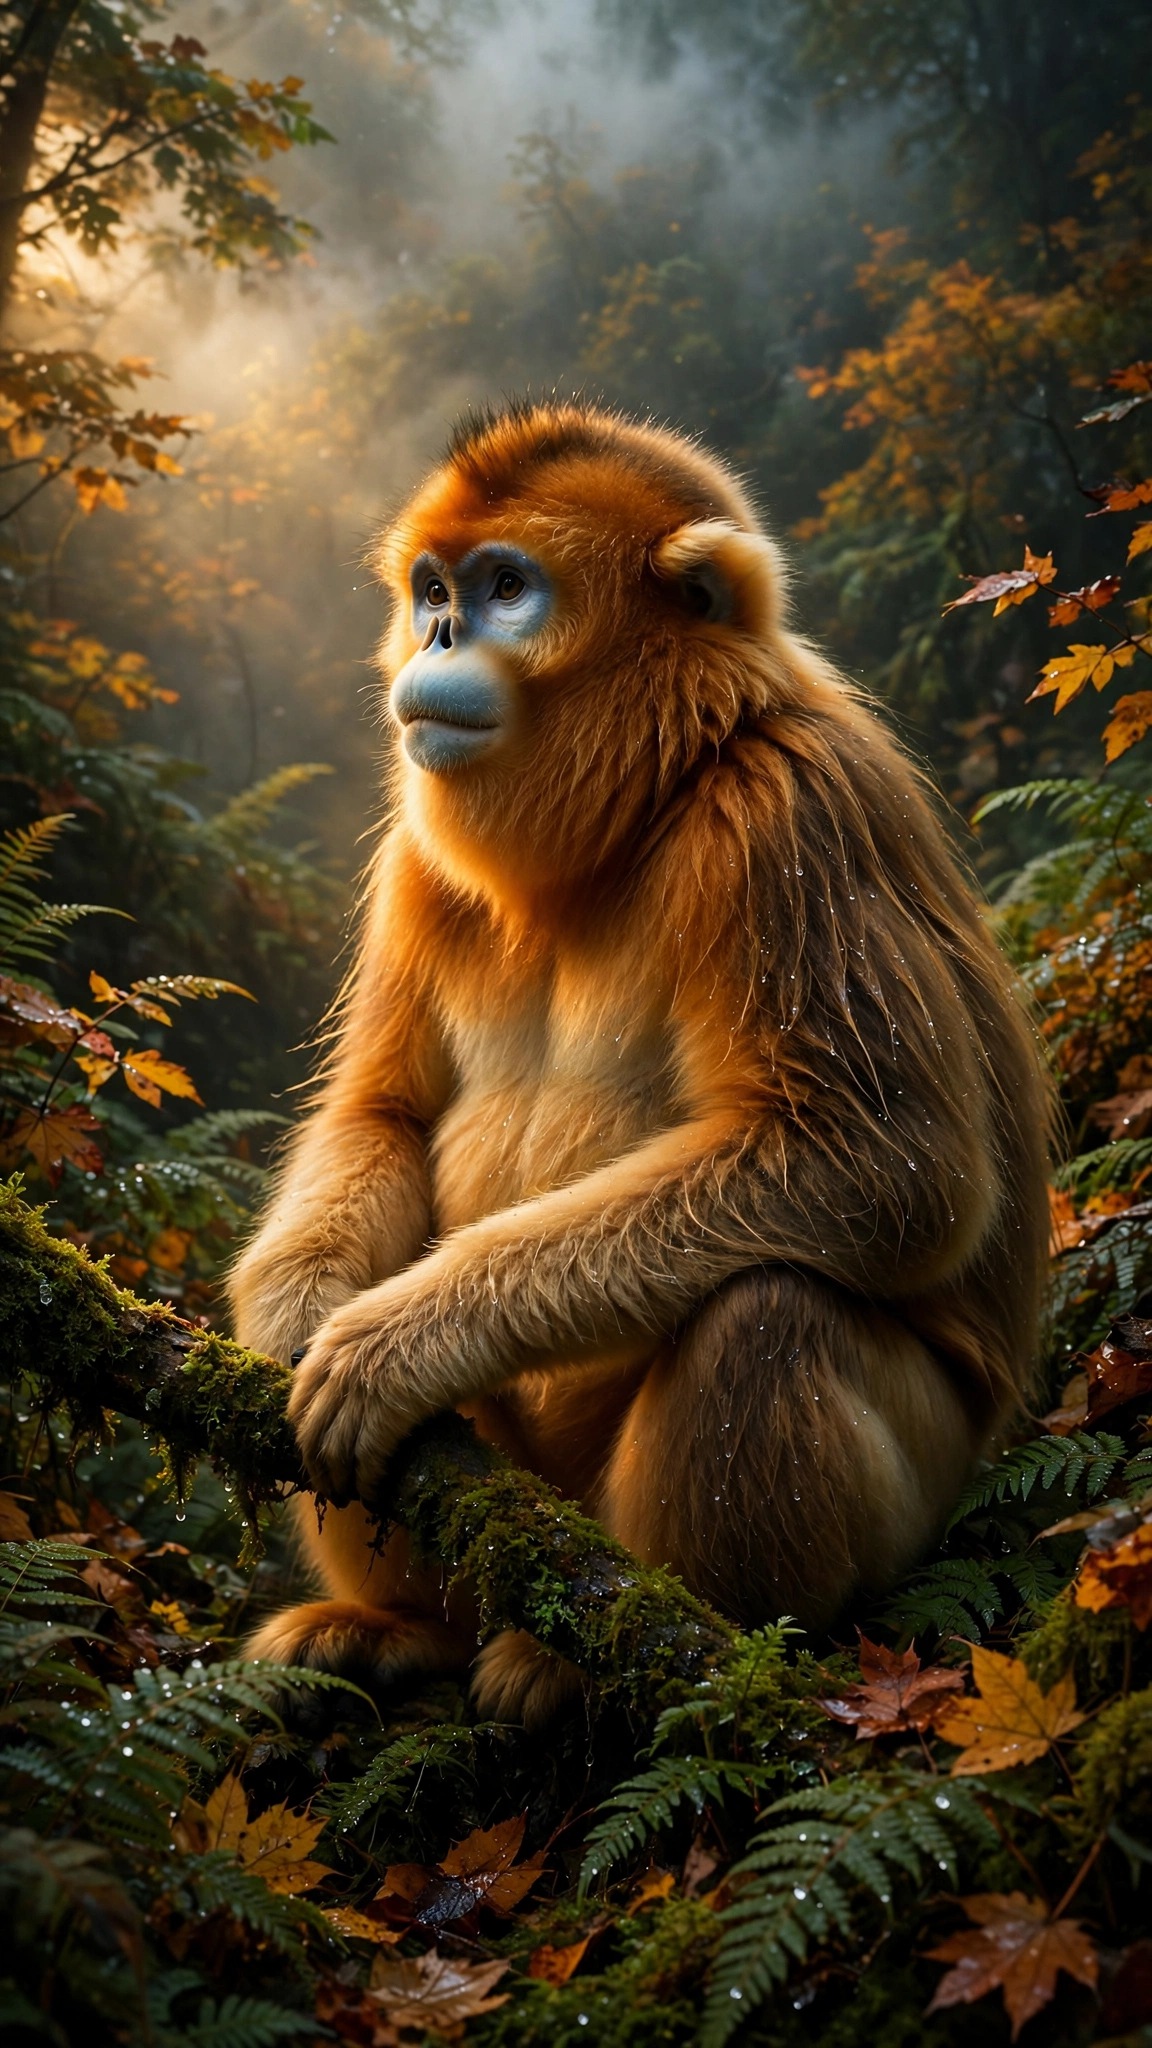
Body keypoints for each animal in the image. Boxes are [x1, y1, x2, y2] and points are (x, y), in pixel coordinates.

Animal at [228, 399, 1051, 1726]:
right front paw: (292, 1308)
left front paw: (405, 1336)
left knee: (766, 1312)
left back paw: (609, 1658)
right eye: (431, 589)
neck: (644, 803)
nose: (439, 630)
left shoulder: (786, 807)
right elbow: (383, 1110)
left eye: (507, 588)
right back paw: (407, 1630)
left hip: (910, 1493)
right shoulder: (417, 848)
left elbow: (892, 1161)